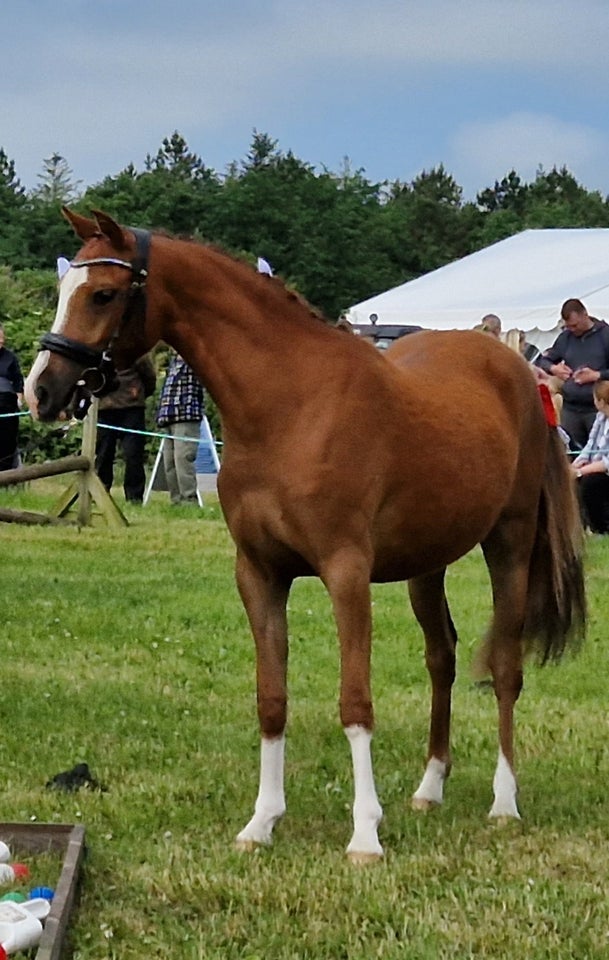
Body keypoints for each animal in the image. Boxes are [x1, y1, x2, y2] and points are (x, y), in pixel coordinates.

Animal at [25, 210, 584, 864]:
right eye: (64, 289)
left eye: (104, 294)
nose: (41, 390)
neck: (290, 407)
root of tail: (517, 370)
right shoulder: (259, 573)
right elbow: (272, 700)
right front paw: (261, 822)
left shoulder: (346, 572)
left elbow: (355, 701)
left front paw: (365, 834)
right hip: (427, 563)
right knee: (441, 658)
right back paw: (430, 788)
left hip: (510, 545)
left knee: (504, 667)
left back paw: (503, 802)